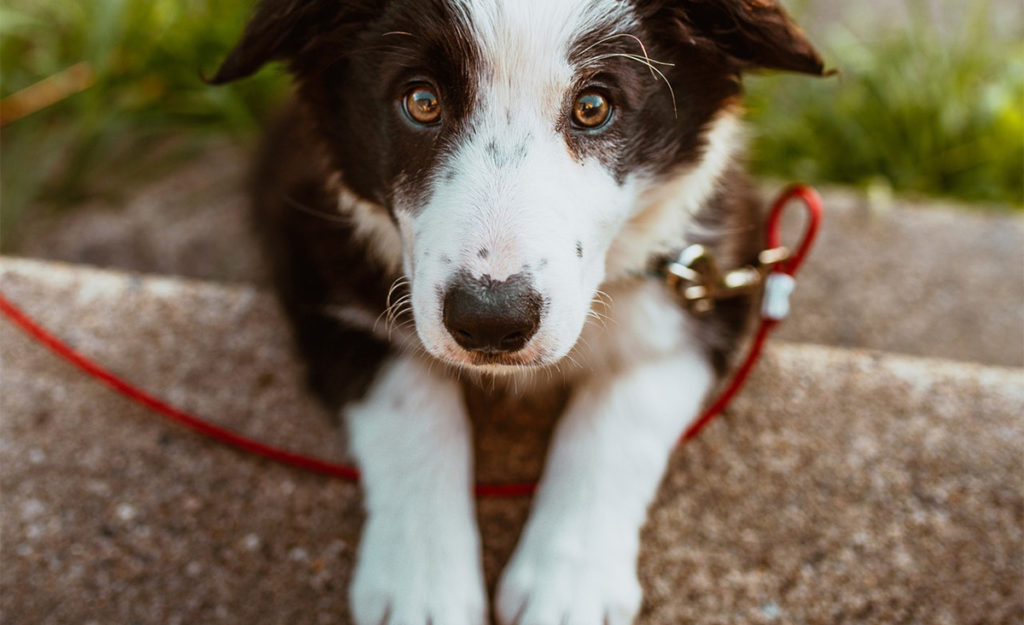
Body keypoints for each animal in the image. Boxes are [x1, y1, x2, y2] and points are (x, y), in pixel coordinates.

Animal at [209, 1, 823, 622]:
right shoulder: (314, 256)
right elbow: (412, 408)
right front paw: (423, 587)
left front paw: (568, 586)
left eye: (594, 107)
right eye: (421, 101)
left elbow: (620, 417)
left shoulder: (712, 274)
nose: (490, 322)